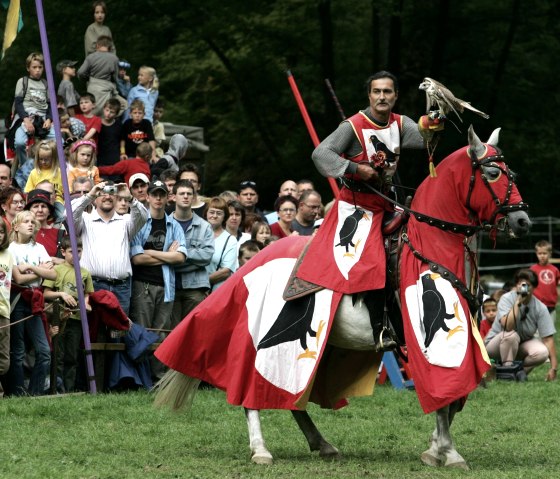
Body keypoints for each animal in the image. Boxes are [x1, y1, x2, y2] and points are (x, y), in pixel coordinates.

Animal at [153, 126, 528, 468]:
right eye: (493, 173)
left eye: (511, 173)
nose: (523, 220)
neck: (431, 245)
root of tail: (253, 262)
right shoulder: (427, 339)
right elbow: (445, 395)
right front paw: (448, 452)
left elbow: (455, 399)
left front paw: (434, 449)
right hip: (258, 342)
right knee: (250, 395)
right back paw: (260, 449)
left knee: (295, 398)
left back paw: (321, 443)